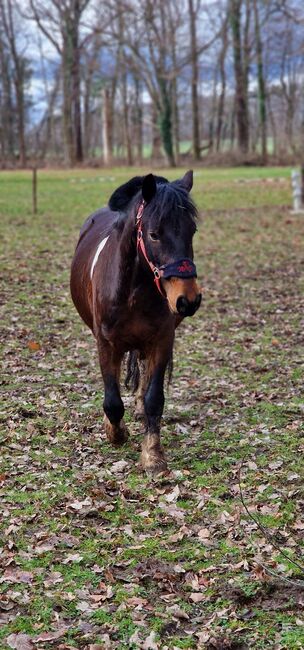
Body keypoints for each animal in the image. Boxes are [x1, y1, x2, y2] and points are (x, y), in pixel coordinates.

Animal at [70, 170, 201, 474]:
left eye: (192, 231)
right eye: (154, 234)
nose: (188, 299)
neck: (132, 290)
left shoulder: (162, 340)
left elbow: (155, 399)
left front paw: (152, 455)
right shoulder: (106, 343)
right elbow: (112, 400)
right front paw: (115, 432)